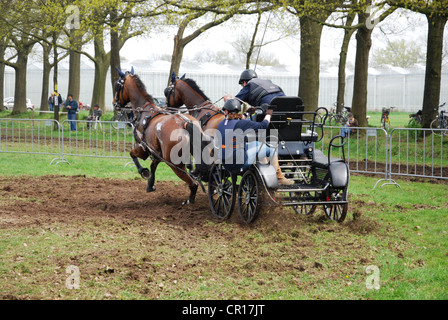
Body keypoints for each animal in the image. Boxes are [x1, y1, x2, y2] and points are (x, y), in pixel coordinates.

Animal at [114, 68, 208, 204]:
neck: (144, 111)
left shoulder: (142, 148)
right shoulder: (157, 152)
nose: (114, 103)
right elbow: (153, 165)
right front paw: (150, 184)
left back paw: (190, 200)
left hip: (174, 162)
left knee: (193, 183)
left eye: (117, 86)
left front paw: (143, 172)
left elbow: (132, 154)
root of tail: (185, 122)